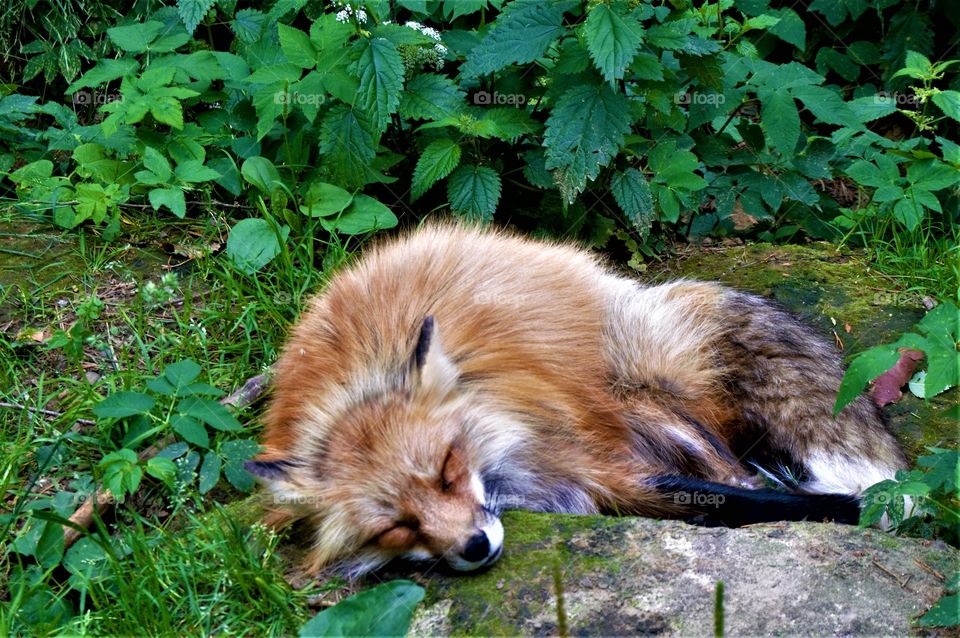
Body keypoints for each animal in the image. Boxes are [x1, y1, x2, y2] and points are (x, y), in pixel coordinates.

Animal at [245, 223, 908, 577]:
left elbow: (749, 499)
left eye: (447, 471)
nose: (474, 546)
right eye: (396, 527)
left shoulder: (587, 454)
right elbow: (726, 502)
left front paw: (854, 511)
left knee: (731, 464)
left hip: (639, 394)